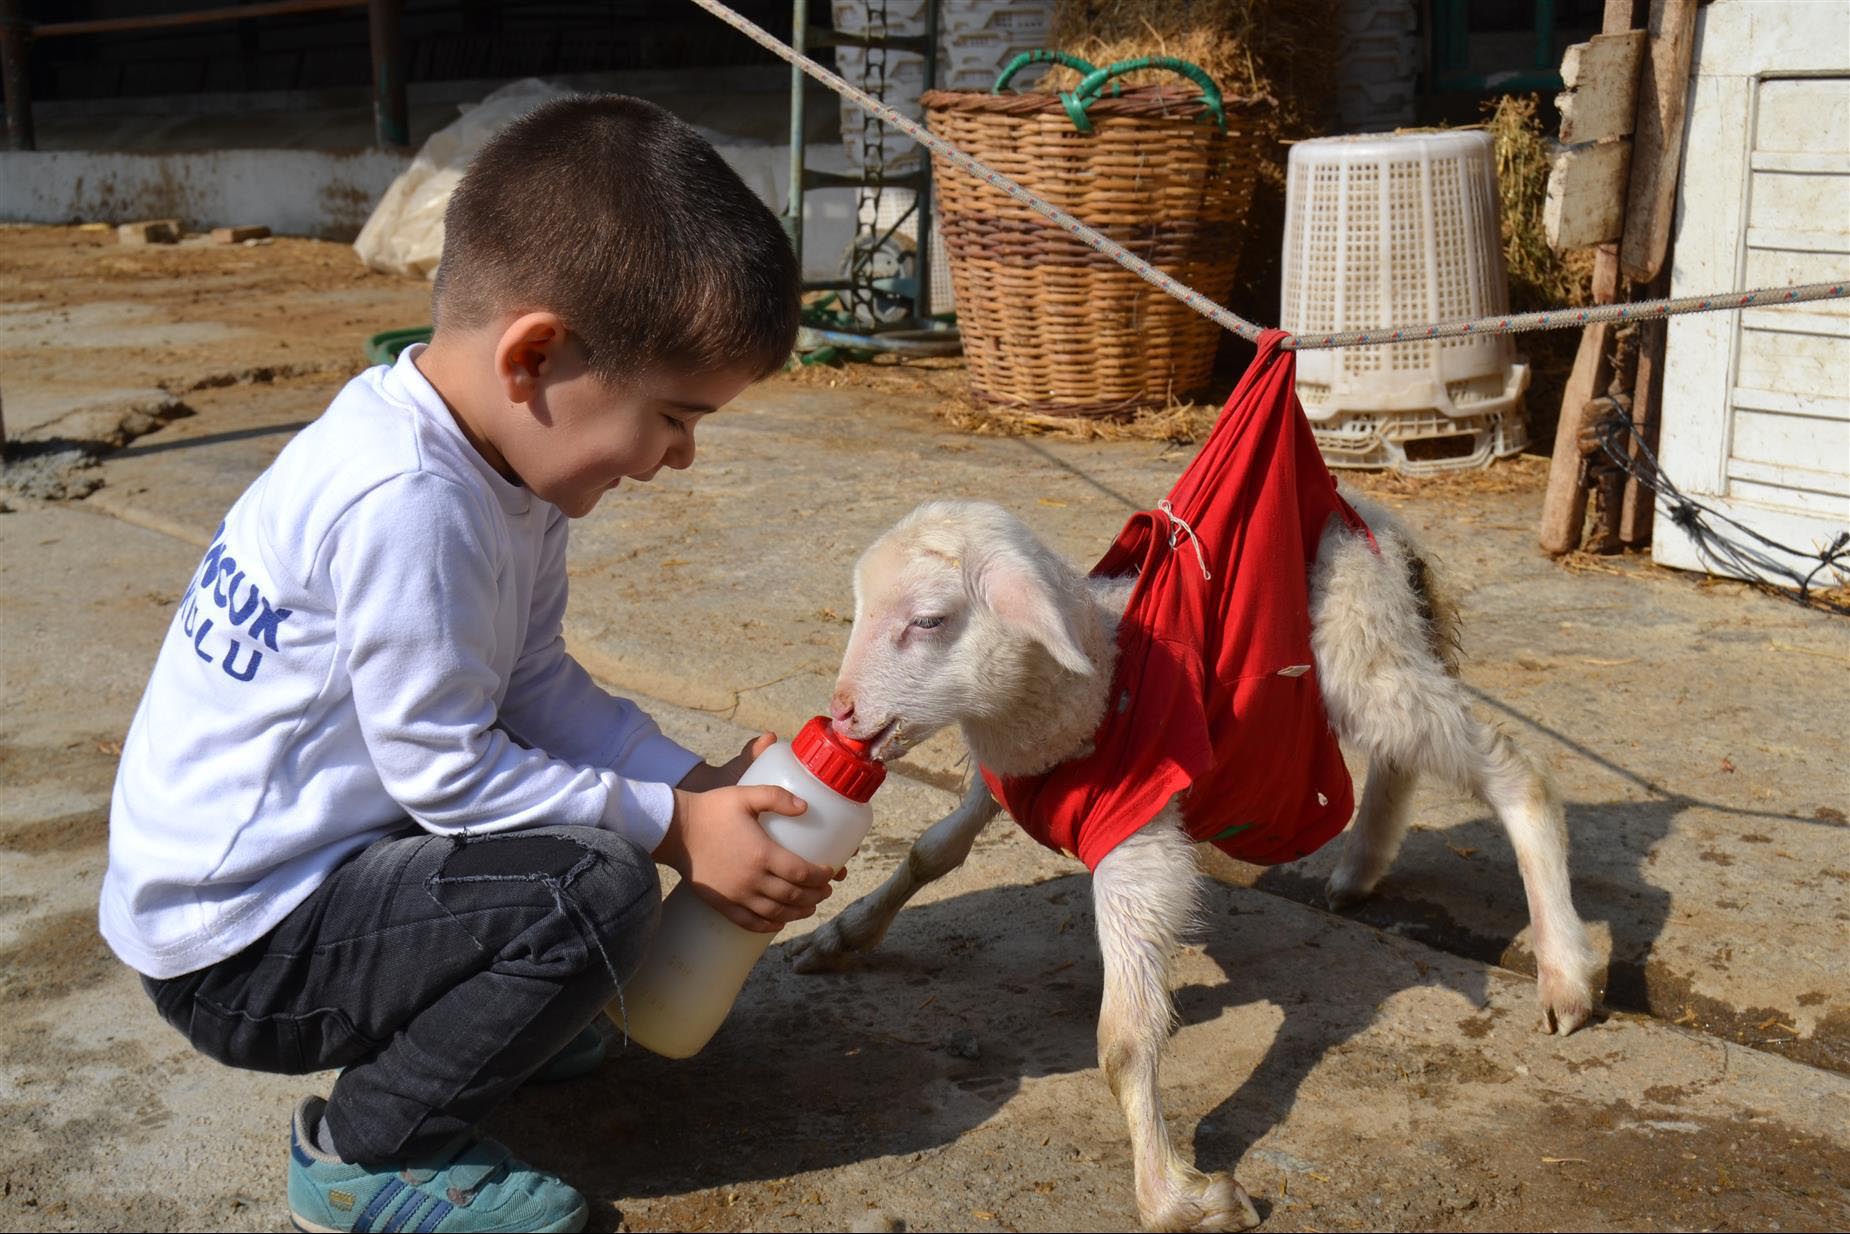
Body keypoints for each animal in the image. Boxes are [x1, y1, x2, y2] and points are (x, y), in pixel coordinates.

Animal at [788, 499, 1598, 1234]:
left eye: (929, 621)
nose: (843, 714)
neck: (1091, 691)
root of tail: (1384, 525)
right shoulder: (1013, 776)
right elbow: (933, 851)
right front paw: (842, 934)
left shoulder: (1139, 845)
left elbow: (1123, 1039)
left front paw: (1173, 1197)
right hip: (1372, 658)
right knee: (1402, 757)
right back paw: (1360, 868)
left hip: (1364, 652)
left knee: (1512, 770)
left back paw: (1563, 970)